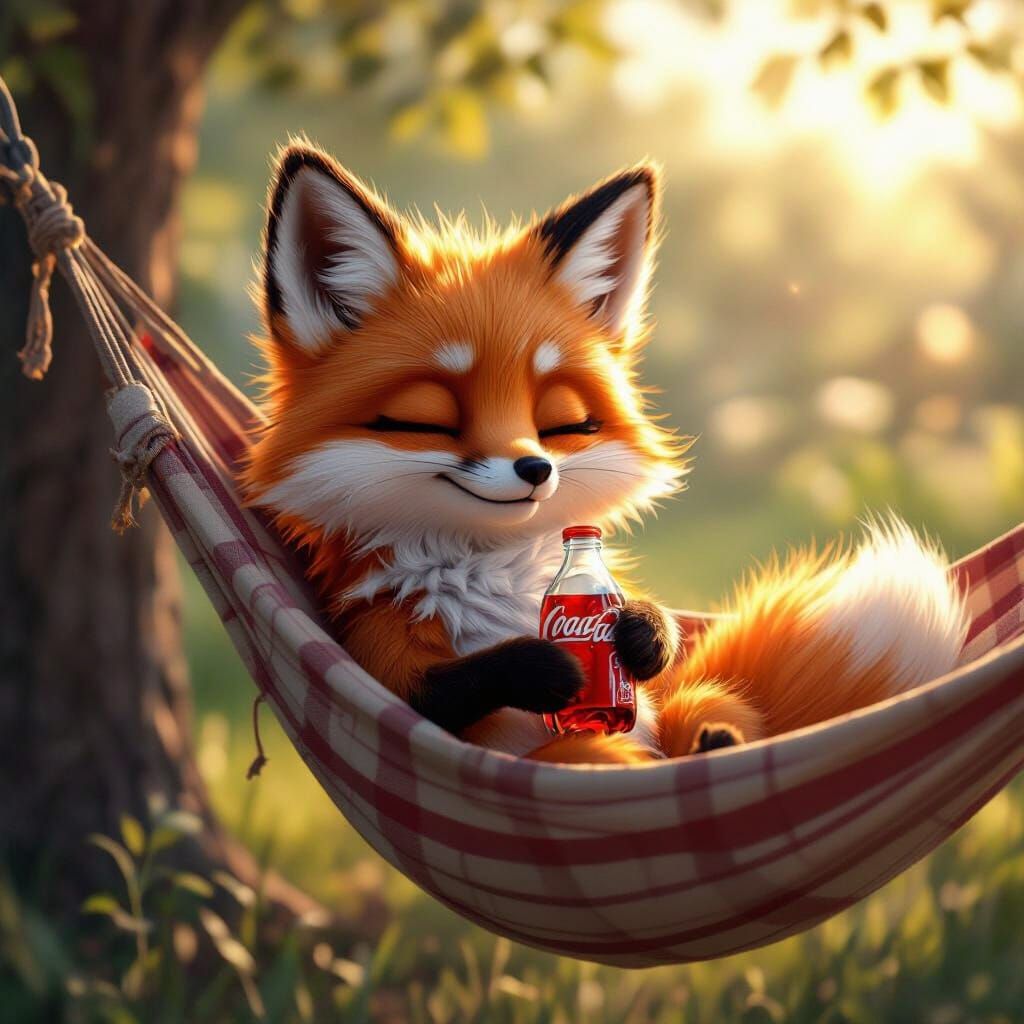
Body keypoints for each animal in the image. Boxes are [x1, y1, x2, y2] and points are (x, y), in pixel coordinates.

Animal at [241, 142, 969, 764]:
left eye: (562, 424)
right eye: (428, 423)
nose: (535, 470)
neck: (495, 573)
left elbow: (646, 637)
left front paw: (644, 635)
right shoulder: (381, 648)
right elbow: (442, 689)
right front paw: (546, 666)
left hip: (699, 702)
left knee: (712, 711)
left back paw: (714, 747)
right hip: (571, 751)